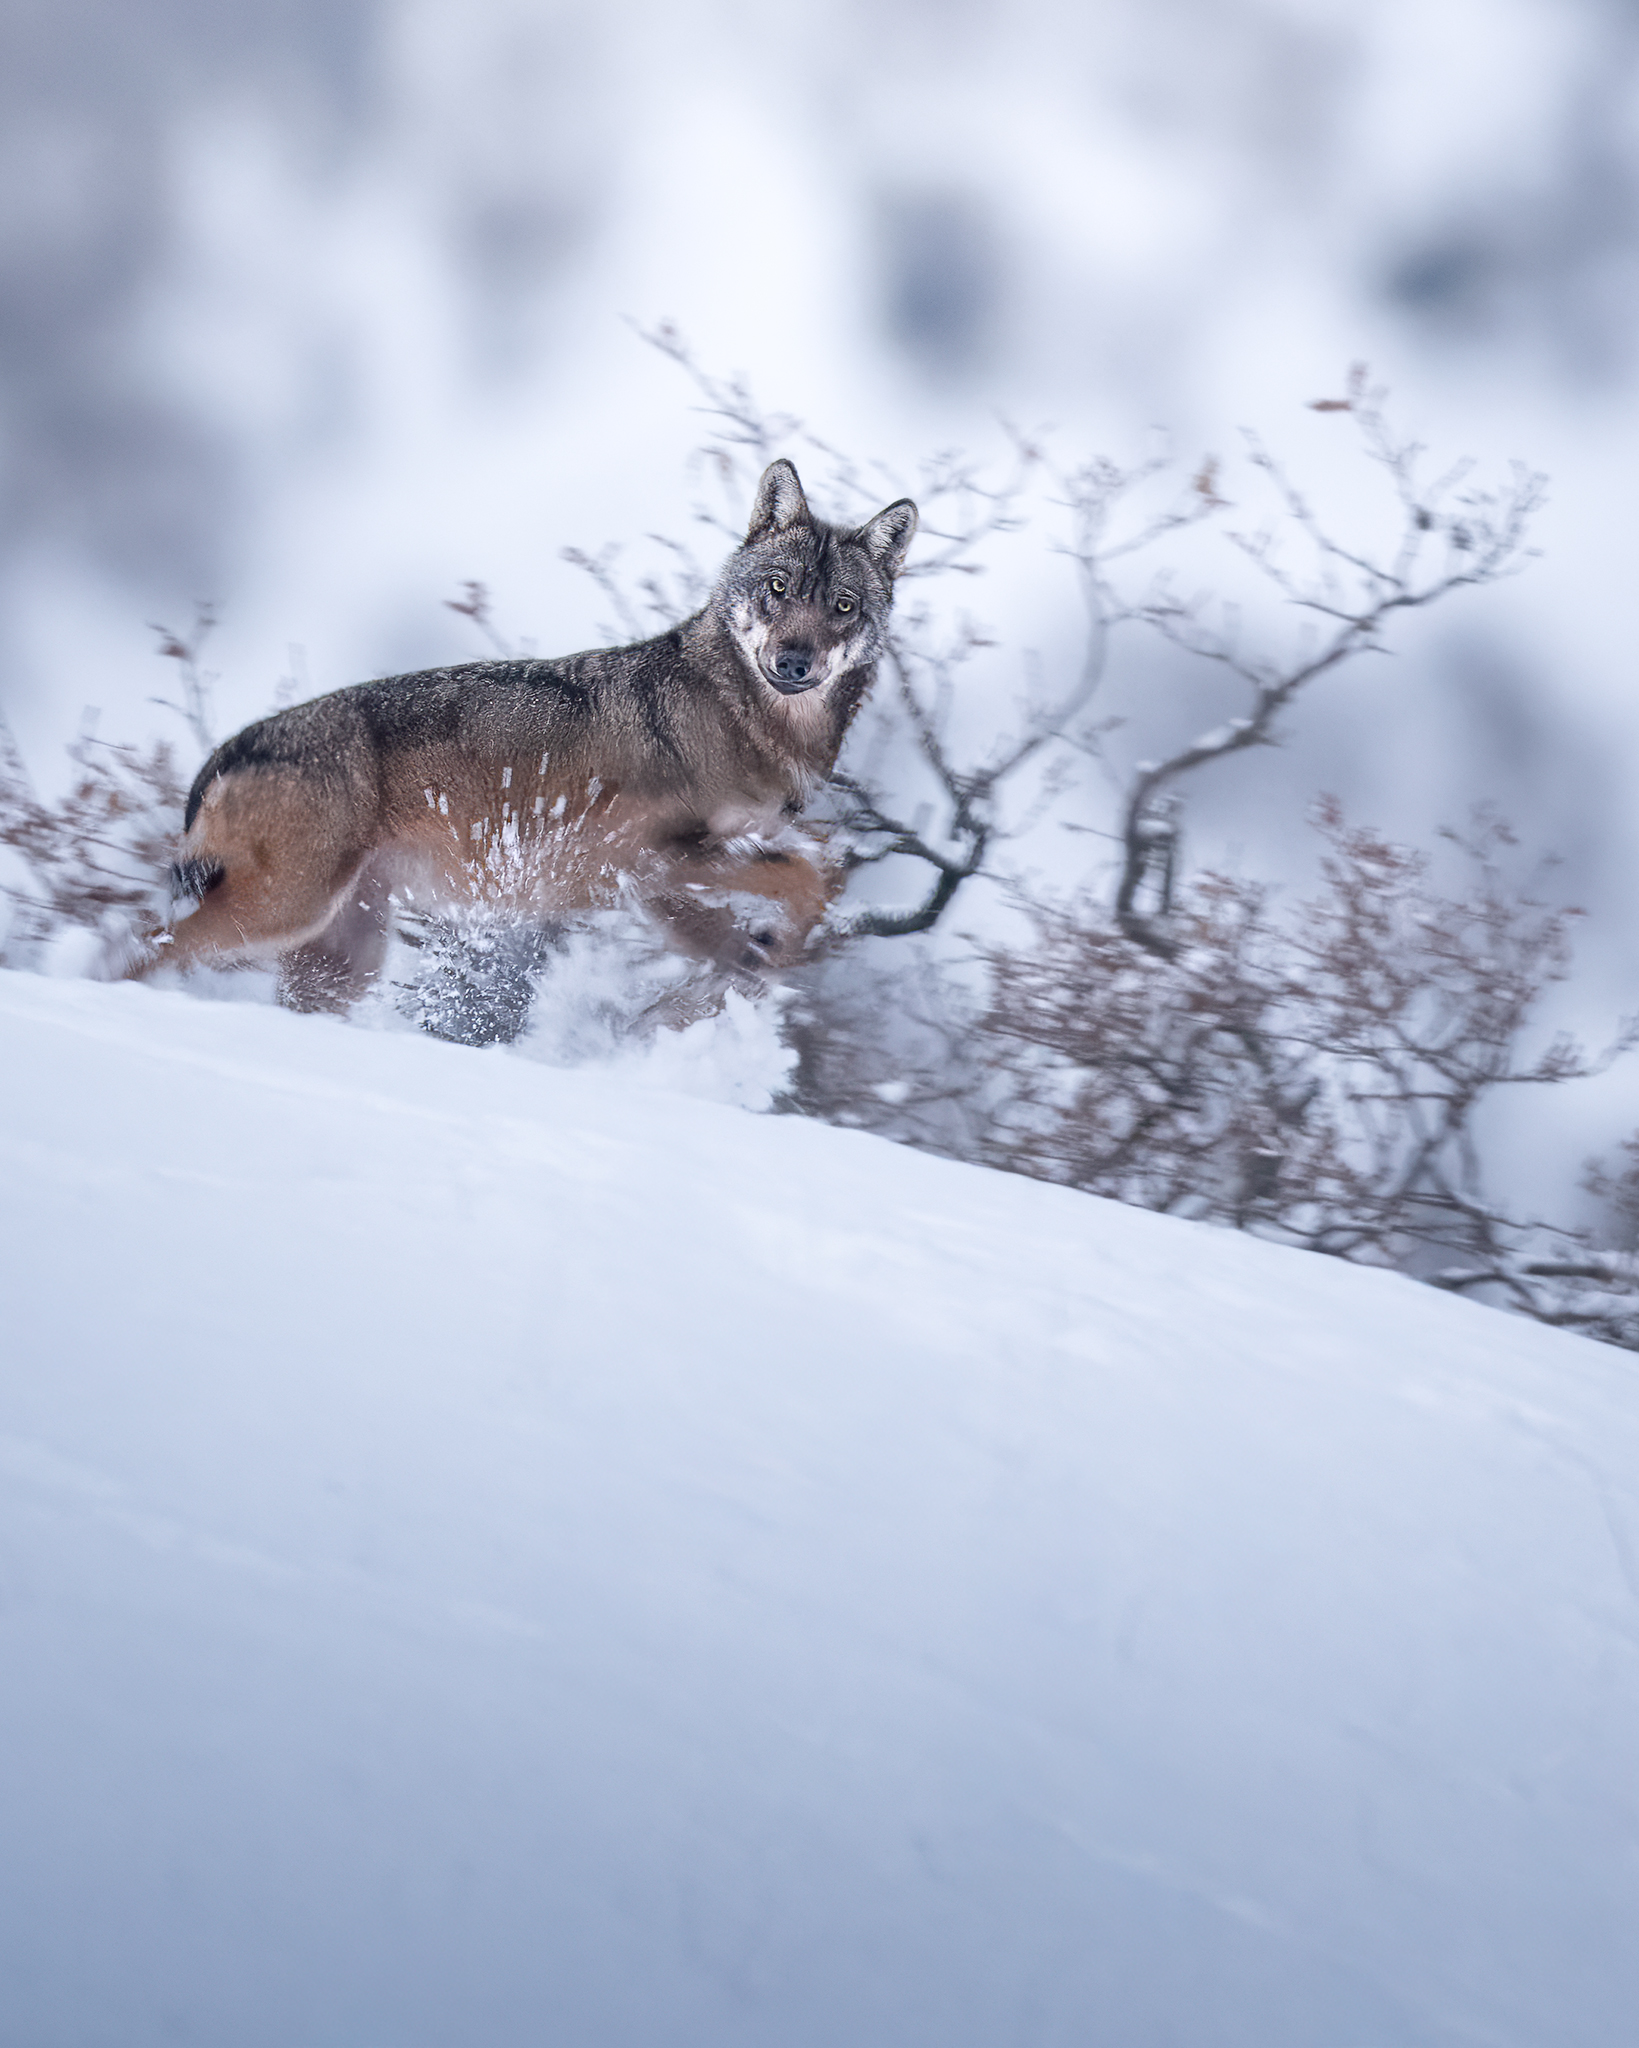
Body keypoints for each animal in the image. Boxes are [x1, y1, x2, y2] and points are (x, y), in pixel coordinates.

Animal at [131, 460, 917, 1015]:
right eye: (778, 588)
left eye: (843, 606)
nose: (794, 662)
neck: (740, 715)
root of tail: (230, 749)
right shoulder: (654, 858)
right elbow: (807, 875)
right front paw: (752, 960)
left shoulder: (657, 880)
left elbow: (806, 886)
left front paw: (745, 968)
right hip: (281, 913)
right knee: (139, 950)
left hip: (338, 958)